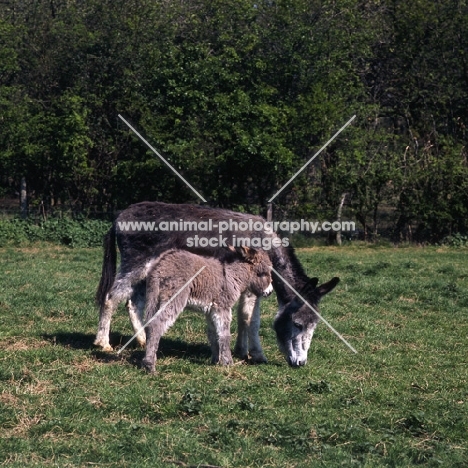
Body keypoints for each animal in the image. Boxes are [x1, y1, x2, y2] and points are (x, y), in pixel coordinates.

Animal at [141, 245, 272, 372]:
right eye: (263, 273)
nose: (270, 292)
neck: (231, 276)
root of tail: (160, 264)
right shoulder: (223, 307)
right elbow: (225, 335)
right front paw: (228, 362)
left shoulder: (211, 311)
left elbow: (213, 334)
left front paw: (216, 361)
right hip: (174, 298)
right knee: (156, 324)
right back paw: (149, 365)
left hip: (154, 299)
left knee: (149, 324)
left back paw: (150, 358)